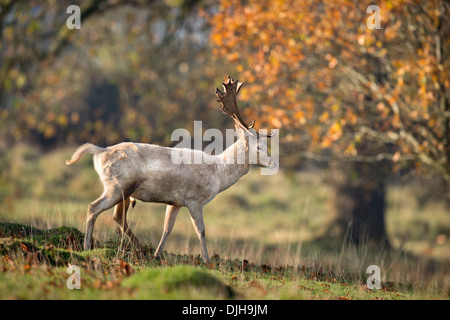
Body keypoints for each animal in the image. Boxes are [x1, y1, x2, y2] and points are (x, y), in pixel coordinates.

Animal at [66, 76, 278, 262]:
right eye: (259, 147)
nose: (273, 164)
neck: (217, 173)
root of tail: (99, 151)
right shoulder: (194, 199)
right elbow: (201, 230)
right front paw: (207, 259)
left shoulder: (175, 202)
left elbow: (167, 228)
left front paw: (157, 253)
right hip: (117, 186)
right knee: (93, 207)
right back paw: (87, 246)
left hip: (125, 191)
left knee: (118, 217)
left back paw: (141, 249)